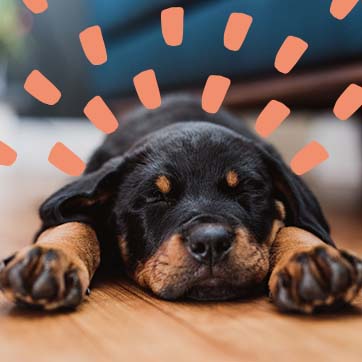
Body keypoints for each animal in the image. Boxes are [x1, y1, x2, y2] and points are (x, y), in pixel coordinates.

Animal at [0, 96, 362, 314]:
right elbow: (73, 223)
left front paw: (313, 260)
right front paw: (47, 259)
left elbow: (294, 227)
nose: (211, 242)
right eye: (155, 197)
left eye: (247, 190)